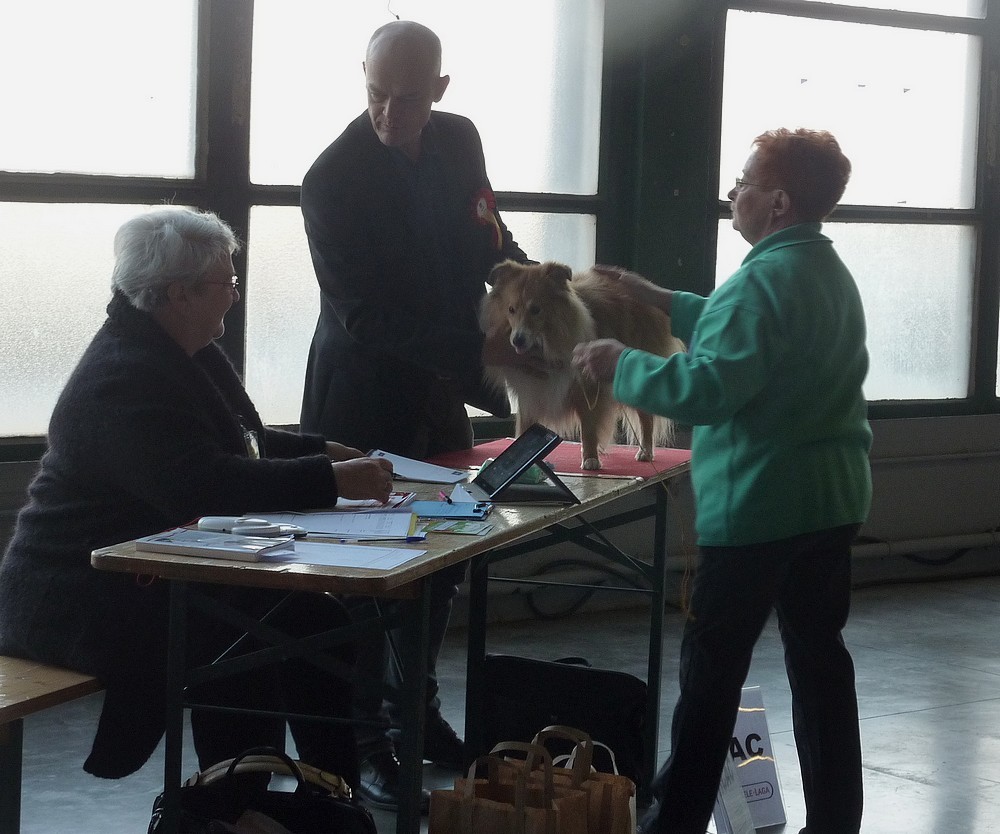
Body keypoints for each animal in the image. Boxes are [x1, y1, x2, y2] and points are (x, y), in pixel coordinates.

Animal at [478, 260, 684, 468]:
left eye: (536, 309)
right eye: (511, 310)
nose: (517, 340)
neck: (548, 342)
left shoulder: (587, 386)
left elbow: (589, 426)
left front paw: (591, 459)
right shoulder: (531, 390)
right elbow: (526, 424)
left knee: (646, 418)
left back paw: (645, 452)